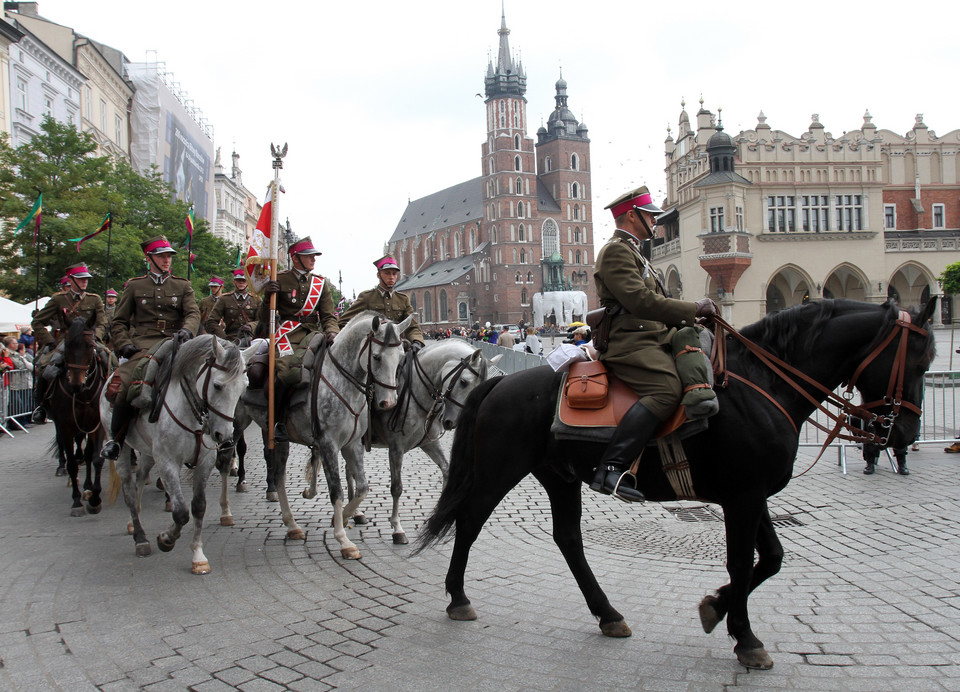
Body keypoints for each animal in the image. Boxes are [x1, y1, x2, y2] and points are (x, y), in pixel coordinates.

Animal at [238, 310, 410, 560]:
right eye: (377, 357)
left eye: (401, 357)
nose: (388, 403)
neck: (344, 381)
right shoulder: (328, 444)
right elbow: (336, 491)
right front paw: (344, 540)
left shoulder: (353, 444)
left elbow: (362, 488)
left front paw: (346, 516)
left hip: (277, 438)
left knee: (279, 476)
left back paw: (292, 525)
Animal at [344, 340, 502, 548]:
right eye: (464, 382)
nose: (452, 422)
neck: (416, 394)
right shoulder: (396, 449)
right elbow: (396, 488)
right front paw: (397, 529)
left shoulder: (429, 444)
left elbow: (446, 472)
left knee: (350, 471)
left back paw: (355, 513)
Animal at [414, 300, 936, 668]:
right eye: (921, 358)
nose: (905, 434)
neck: (760, 383)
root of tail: (500, 382)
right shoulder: (742, 498)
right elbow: (742, 564)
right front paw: (745, 636)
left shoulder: (752, 495)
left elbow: (770, 559)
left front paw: (718, 608)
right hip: (499, 471)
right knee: (469, 522)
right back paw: (458, 597)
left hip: (560, 478)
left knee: (568, 540)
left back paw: (608, 614)